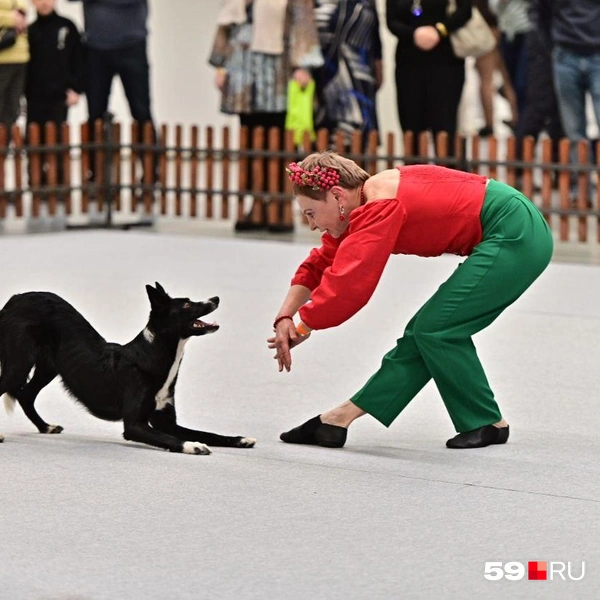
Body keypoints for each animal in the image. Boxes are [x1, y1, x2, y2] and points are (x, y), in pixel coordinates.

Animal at [0, 284, 255, 452]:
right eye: (186, 304)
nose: (216, 298)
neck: (152, 356)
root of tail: (14, 299)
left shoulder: (166, 421)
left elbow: (206, 433)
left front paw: (239, 439)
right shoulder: (134, 425)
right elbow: (171, 439)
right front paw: (193, 446)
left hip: (48, 367)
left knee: (26, 395)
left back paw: (46, 427)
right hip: (18, 364)